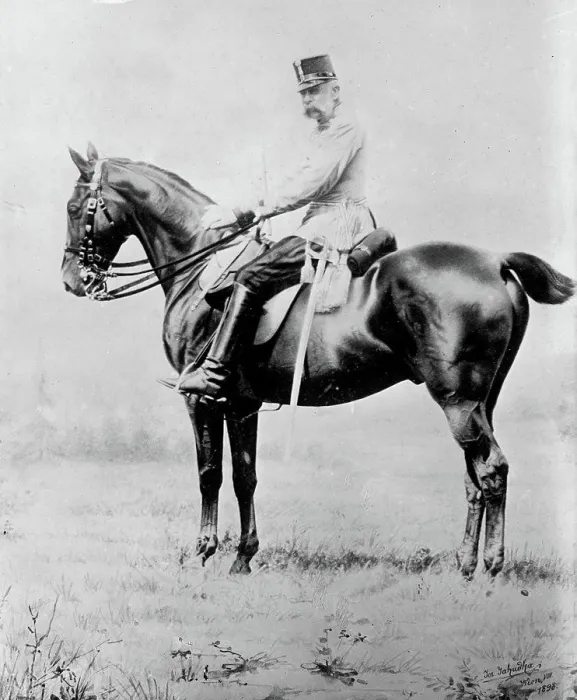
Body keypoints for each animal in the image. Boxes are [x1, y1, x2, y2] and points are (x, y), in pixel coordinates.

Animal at [61, 144, 575, 578]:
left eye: (73, 207)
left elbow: (211, 473)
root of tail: (495, 261)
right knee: (474, 478)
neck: (200, 266)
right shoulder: (242, 404)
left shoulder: (202, 401)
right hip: (480, 402)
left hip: (457, 401)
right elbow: (245, 476)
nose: (72, 281)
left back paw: (490, 568)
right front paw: (243, 558)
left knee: (491, 471)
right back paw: (465, 565)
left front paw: (204, 552)